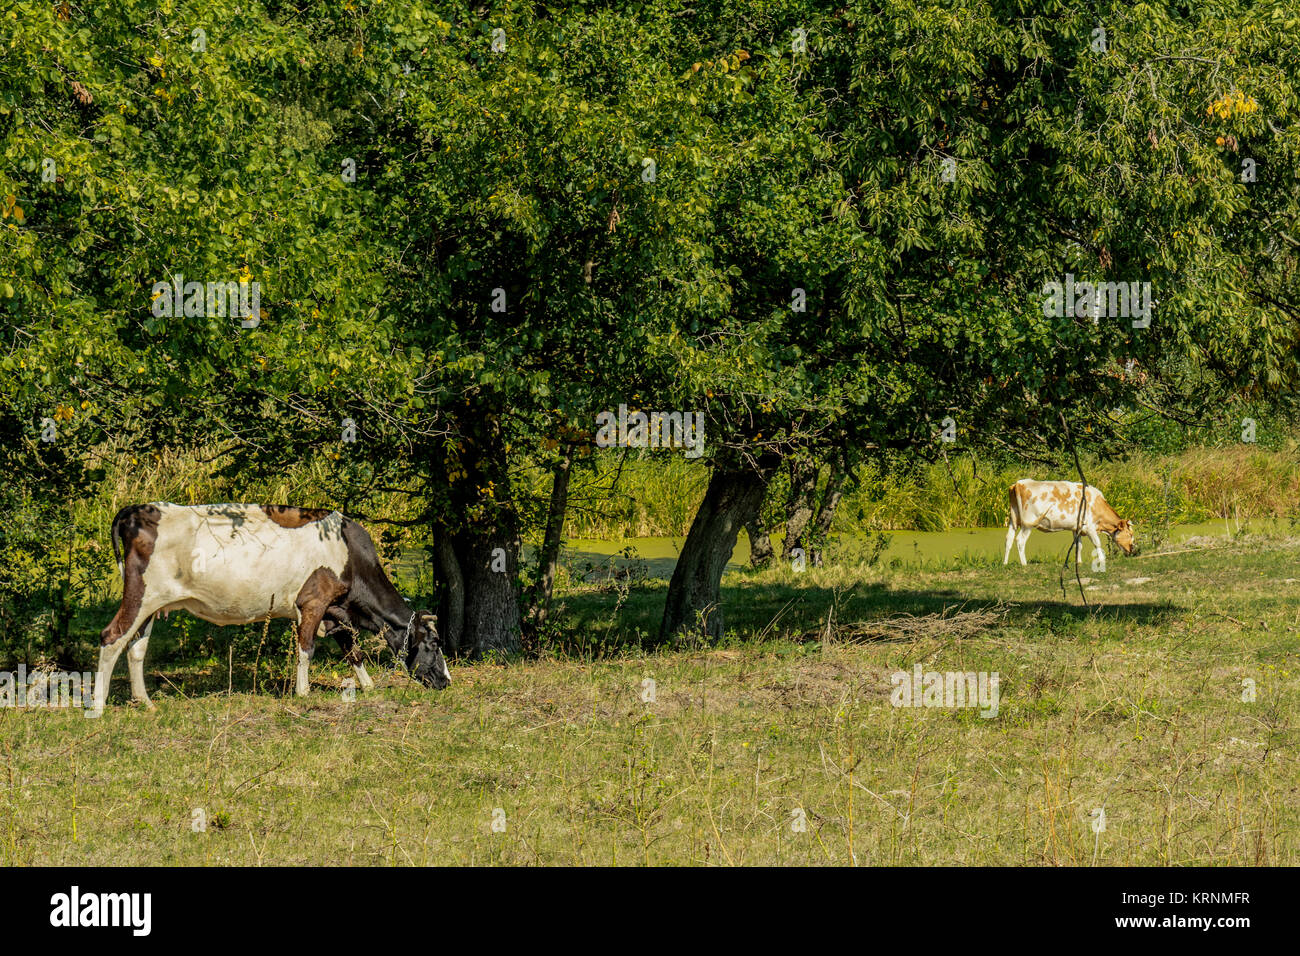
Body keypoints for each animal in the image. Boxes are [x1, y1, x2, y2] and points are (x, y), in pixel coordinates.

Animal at [92, 503, 450, 713]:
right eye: (434, 643)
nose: (447, 682)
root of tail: (140, 509)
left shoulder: (337, 612)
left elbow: (353, 651)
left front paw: (368, 686)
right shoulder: (313, 602)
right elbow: (306, 649)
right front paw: (303, 693)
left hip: (152, 604)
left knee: (136, 647)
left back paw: (145, 701)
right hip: (141, 594)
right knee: (111, 637)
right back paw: (97, 705)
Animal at [1003, 480, 1136, 570]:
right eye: (1130, 534)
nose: (1132, 549)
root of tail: (1018, 483)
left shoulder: (1076, 528)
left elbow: (1079, 545)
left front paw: (1079, 562)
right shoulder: (1089, 527)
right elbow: (1097, 543)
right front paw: (1102, 559)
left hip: (1013, 520)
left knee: (1009, 539)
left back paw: (1005, 563)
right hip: (1028, 523)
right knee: (1020, 540)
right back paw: (1024, 564)